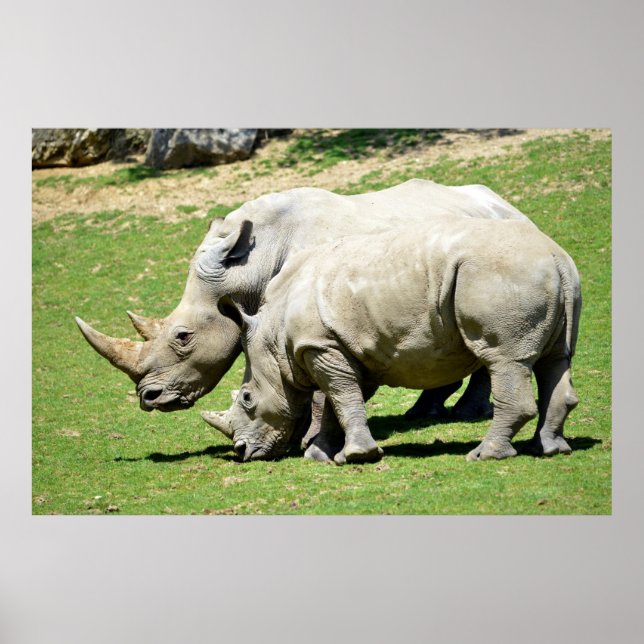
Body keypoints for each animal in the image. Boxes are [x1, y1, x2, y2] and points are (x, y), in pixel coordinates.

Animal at [75, 180, 530, 455]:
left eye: (183, 337)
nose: (148, 399)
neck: (249, 265)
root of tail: (509, 206)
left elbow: (315, 386)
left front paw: (308, 442)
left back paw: (466, 413)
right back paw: (423, 412)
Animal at [201, 216, 581, 464]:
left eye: (247, 398)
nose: (241, 452)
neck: (272, 337)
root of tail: (556, 256)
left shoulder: (321, 345)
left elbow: (341, 397)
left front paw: (356, 456)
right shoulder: (341, 347)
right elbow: (338, 400)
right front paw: (319, 456)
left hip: (499, 274)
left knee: (504, 360)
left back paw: (483, 455)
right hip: (546, 276)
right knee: (555, 360)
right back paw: (548, 450)